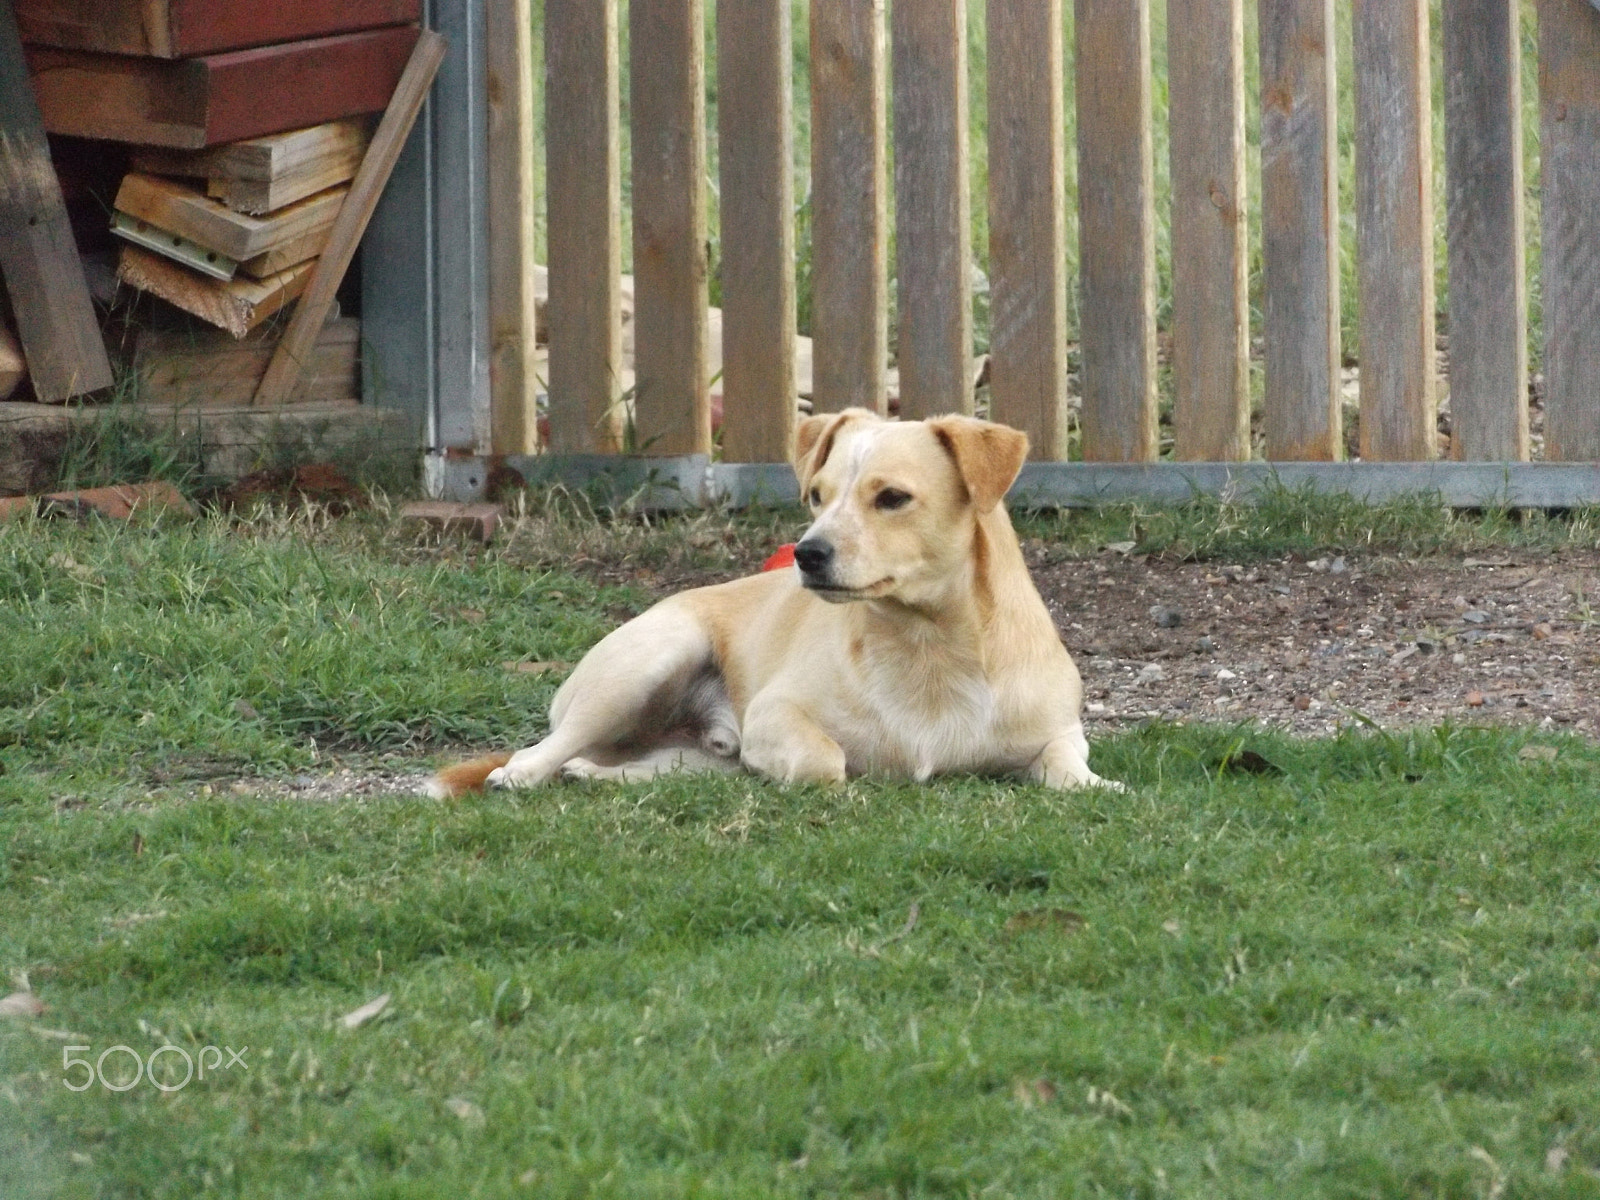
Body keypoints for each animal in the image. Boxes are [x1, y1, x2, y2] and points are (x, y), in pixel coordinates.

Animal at [432, 412, 1120, 800]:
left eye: (892, 498)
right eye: (817, 495)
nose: (807, 554)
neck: (928, 646)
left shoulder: (1057, 732)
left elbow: (1068, 769)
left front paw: (1098, 784)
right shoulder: (774, 713)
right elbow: (825, 761)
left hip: (683, 755)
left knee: (645, 769)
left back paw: (596, 775)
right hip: (643, 667)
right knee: (547, 747)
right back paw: (522, 774)